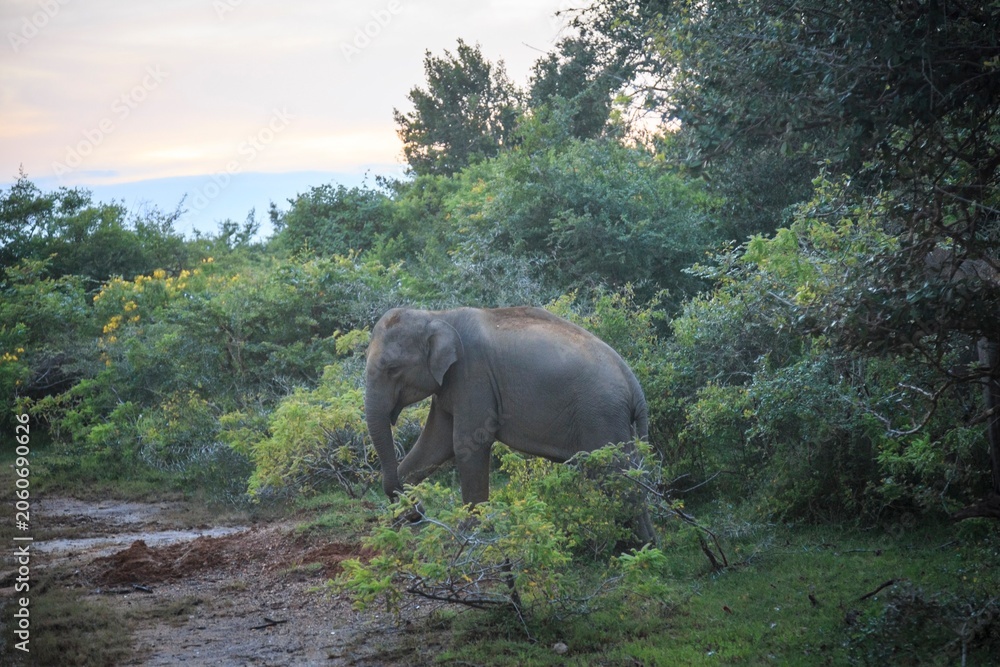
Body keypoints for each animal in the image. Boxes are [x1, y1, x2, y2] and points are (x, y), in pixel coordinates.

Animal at [364, 306, 655, 542]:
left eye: (392, 369)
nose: (419, 512)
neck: (437, 315)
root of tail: (635, 386)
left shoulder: (473, 375)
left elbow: (468, 443)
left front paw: (470, 532)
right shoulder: (448, 383)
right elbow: (435, 444)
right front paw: (403, 517)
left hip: (602, 416)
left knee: (615, 478)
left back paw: (637, 549)